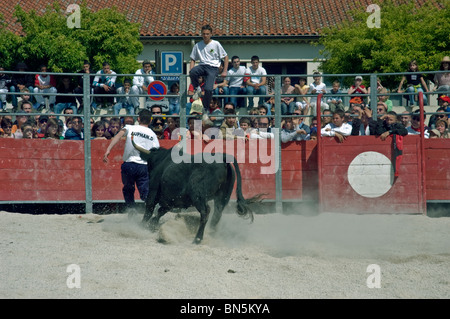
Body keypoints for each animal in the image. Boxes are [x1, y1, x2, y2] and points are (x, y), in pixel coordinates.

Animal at [131, 141, 264, 244]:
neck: (161, 161)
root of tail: (222, 158)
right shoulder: (172, 201)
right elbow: (160, 211)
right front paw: (151, 224)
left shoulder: (153, 192)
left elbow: (149, 209)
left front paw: (142, 226)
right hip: (222, 197)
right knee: (217, 213)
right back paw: (211, 234)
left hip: (198, 196)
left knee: (205, 212)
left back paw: (197, 239)